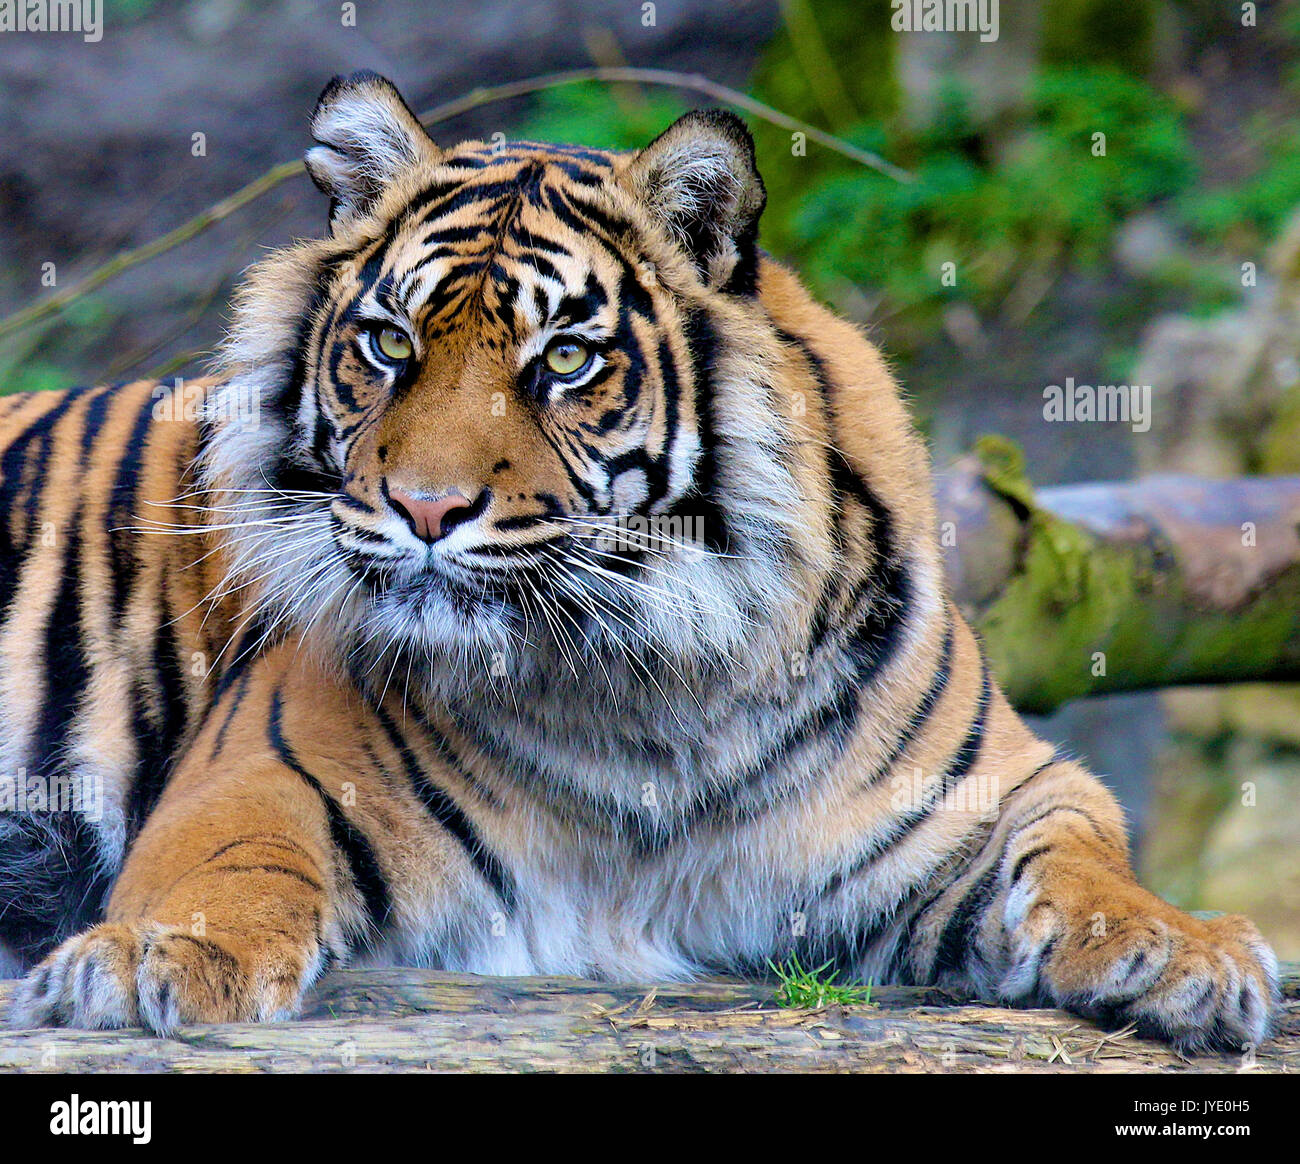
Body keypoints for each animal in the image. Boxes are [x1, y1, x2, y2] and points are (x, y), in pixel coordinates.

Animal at [0, 72, 1279, 1056]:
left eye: (564, 359)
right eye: (389, 343)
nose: (424, 509)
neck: (645, 689)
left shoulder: (998, 788)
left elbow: (1087, 856)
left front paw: (1187, 949)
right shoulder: (258, 773)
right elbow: (231, 867)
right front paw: (146, 959)